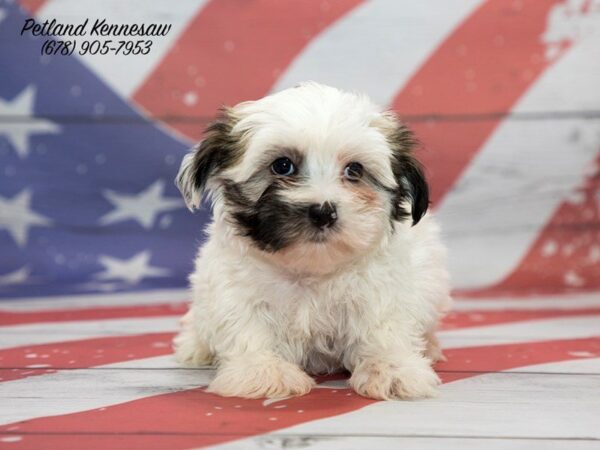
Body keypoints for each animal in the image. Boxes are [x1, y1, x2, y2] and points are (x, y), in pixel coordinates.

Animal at [173, 82, 450, 400]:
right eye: (282, 165)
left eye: (354, 170)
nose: (323, 212)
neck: (311, 272)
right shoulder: (235, 289)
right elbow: (247, 327)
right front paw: (264, 370)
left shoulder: (383, 290)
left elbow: (382, 327)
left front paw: (392, 368)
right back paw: (196, 346)